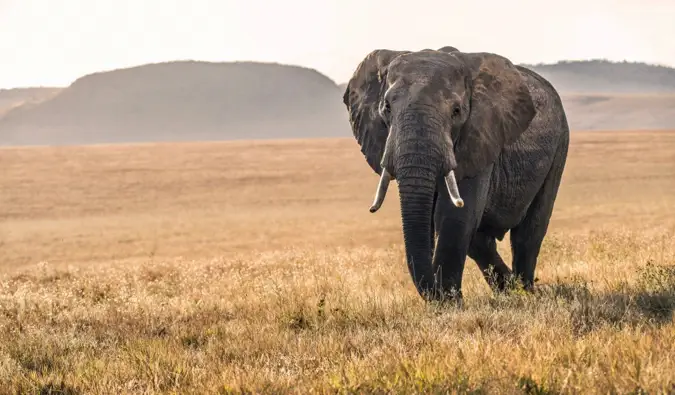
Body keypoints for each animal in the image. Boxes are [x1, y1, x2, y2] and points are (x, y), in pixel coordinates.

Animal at [344, 46, 572, 304]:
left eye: (456, 111)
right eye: (386, 108)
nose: (435, 293)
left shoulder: (480, 136)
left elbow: (454, 216)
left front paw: (450, 304)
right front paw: (447, 300)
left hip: (560, 145)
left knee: (529, 232)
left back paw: (525, 293)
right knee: (481, 241)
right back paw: (510, 290)